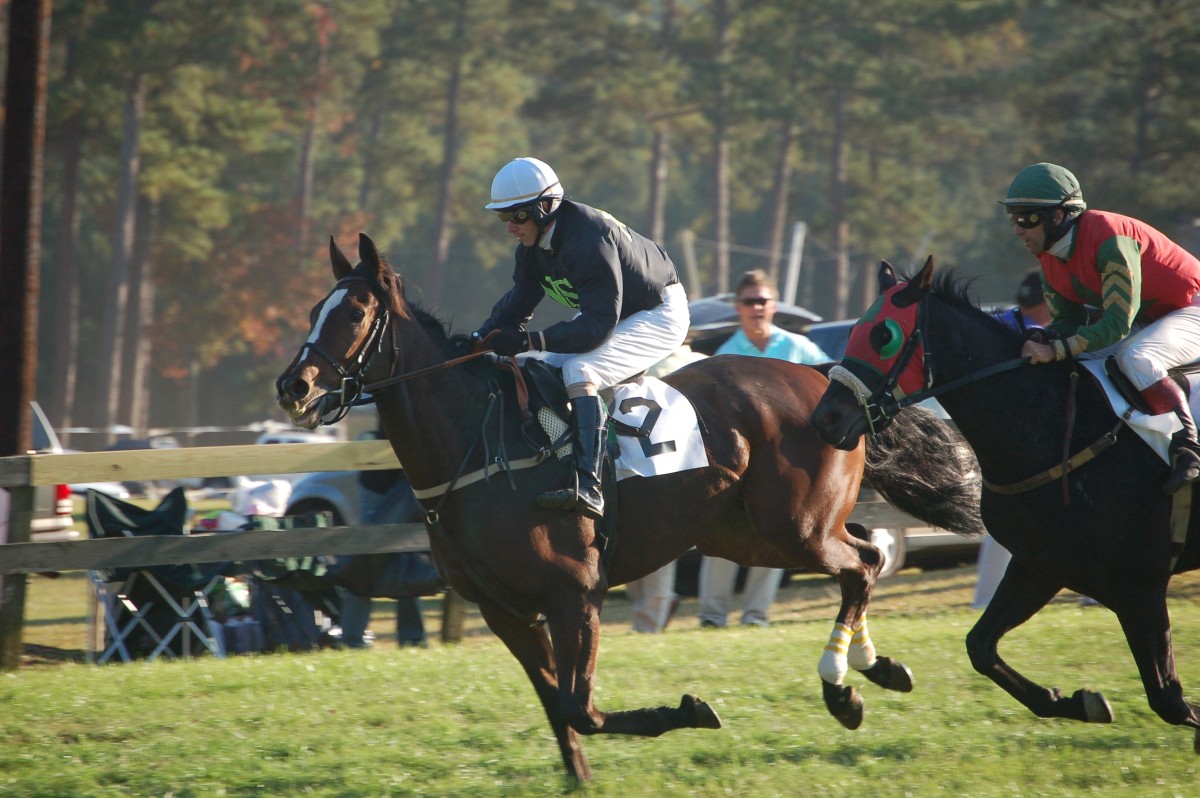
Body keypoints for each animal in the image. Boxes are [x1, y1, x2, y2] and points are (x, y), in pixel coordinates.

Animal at [276, 231, 979, 777]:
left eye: (355, 313)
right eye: (313, 308)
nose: (293, 387)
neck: (479, 447)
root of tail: (829, 379)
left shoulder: (574, 593)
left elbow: (580, 709)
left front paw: (692, 710)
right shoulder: (507, 611)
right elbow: (558, 710)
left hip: (796, 527)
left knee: (861, 565)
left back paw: (843, 689)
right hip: (748, 535)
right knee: (864, 557)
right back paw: (875, 669)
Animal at [811, 256, 1195, 753]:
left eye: (884, 336)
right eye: (855, 330)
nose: (825, 418)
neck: (1058, 430)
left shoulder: (1138, 584)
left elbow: (1169, 699)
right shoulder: (1041, 565)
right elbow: (980, 647)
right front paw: (1076, 702)